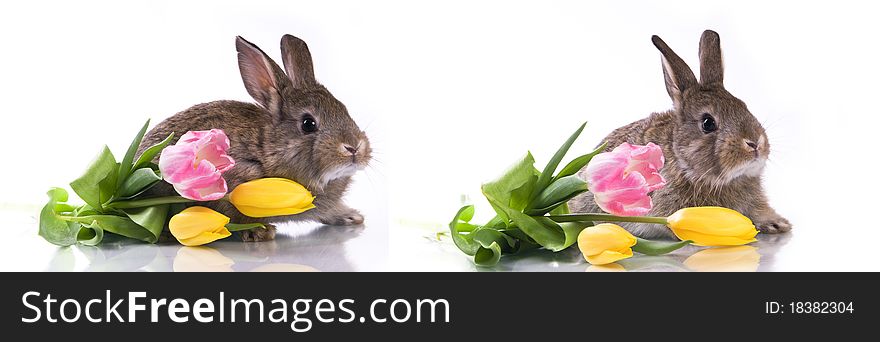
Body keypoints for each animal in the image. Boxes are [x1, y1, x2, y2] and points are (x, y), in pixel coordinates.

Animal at [138, 34, 372, 240]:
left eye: (344, 109)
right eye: (308, 124)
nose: (354, 147)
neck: (265, 146)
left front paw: (351, 216)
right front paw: (260, 232)